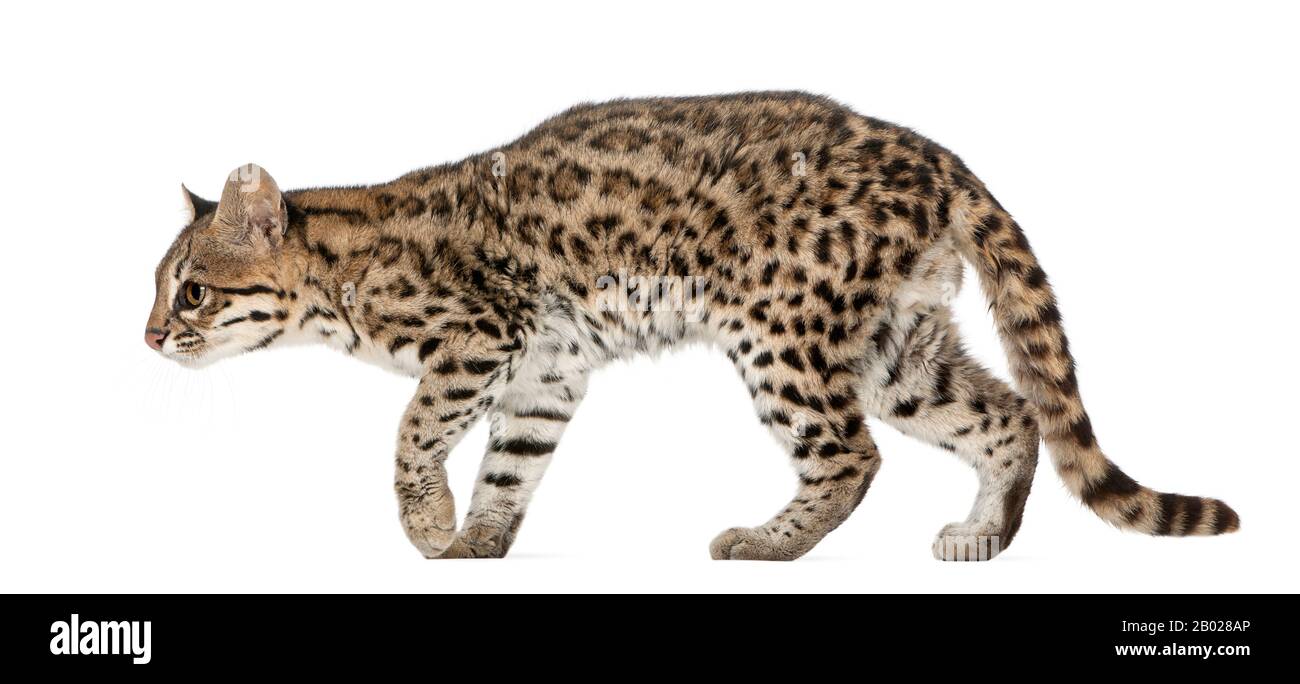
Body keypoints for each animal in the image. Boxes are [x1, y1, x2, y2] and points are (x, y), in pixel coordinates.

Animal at [145, 92, 1238, 561]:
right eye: (161, 290)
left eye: (190, 291)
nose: (149, 338)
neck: (341, 273)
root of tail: (940, 159)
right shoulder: (544, 370)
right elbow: (511, 463)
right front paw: (479, 541)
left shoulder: (482, 339)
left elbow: (411, 433)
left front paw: (426, 524)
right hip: (896, 344)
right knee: (1006, 411)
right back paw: (985, 533)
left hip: (782, 331)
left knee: (851, 457)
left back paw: (769, 542)